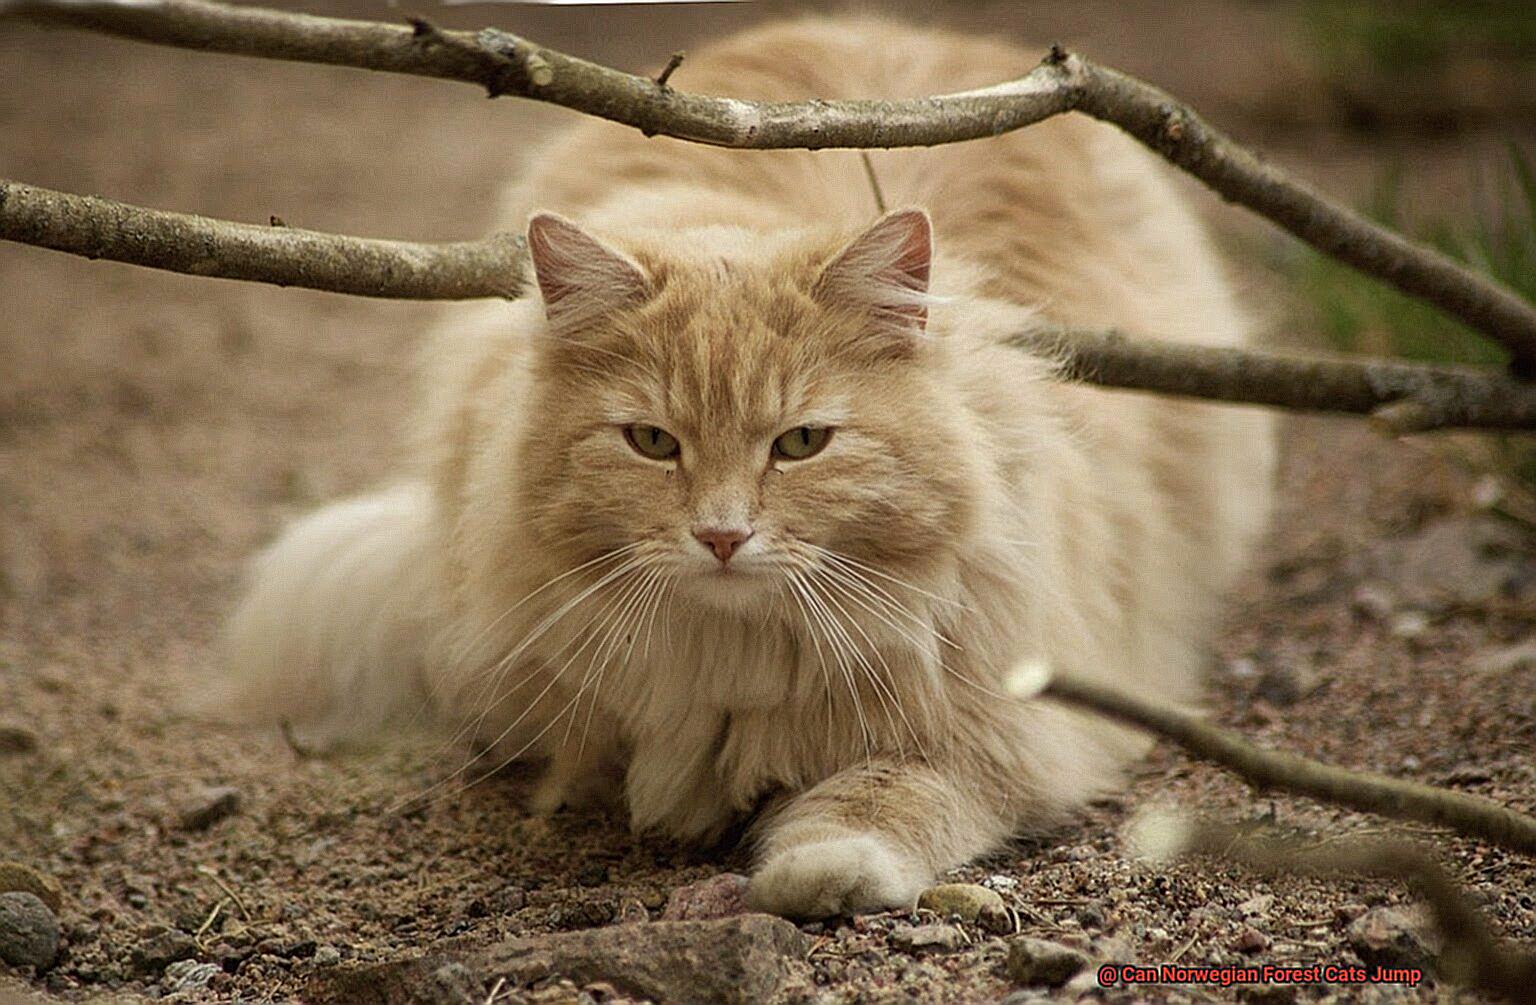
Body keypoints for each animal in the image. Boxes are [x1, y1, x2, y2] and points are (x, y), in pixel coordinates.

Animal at [213, 15, 1271, 922]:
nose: (722, 535)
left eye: (800, 444)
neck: (737, 654)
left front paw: (818, 867)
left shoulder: (1016, 722)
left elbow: (888, 793)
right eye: (653, 443)